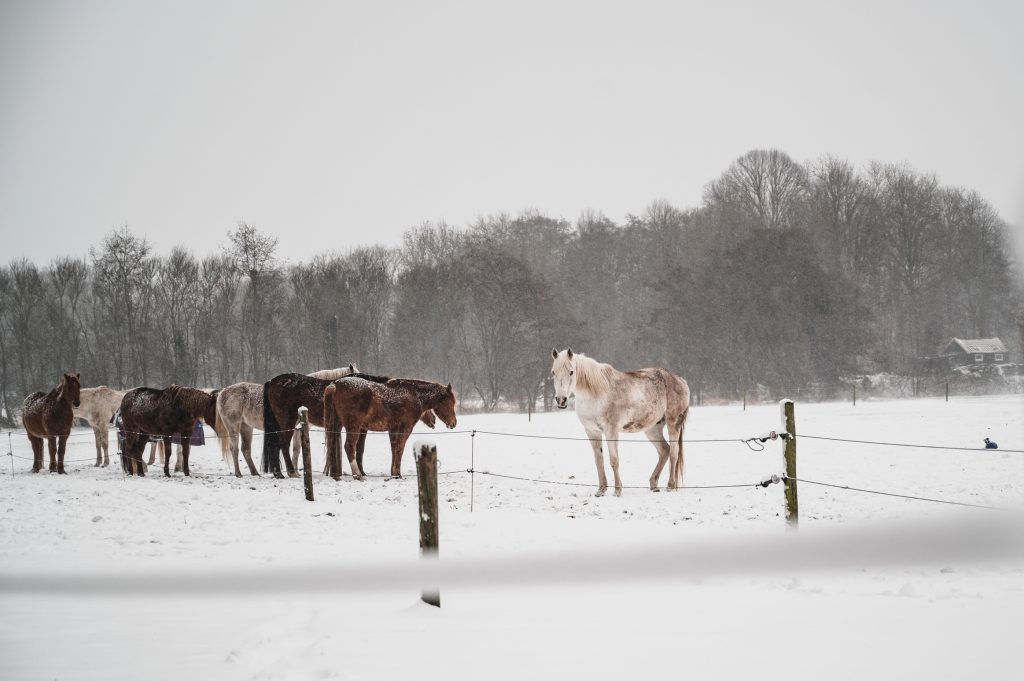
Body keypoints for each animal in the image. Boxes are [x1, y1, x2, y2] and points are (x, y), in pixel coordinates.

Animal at [323, 376, 460, 477]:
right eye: (450, 403)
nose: (454, 423)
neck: (414, 395)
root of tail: (335, 384)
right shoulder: (405, 428)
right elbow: (399, 449)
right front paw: (397, 474)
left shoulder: (393, 430)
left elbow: (394, 450)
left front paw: (394, 473)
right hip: (353, 427)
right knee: (349, 447)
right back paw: (358, 475)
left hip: (337, 425)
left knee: (333, 446)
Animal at [552, 348, 688, 497]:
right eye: (553, 372)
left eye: (571, 372)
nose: (561, 400)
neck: (596, 394)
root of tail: (680, 380)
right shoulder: (592, 431)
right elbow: (599, 460)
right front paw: (601, 490)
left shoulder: (611, 431)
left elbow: (614, 460)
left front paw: (617, 491)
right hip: (652, 429)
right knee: (665, 451)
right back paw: (653, 484)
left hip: (673, 423)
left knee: (674, 453)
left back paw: (670, 486)